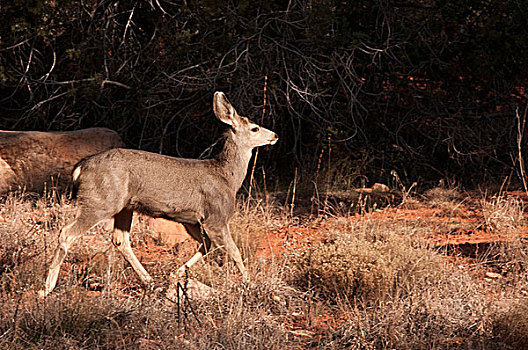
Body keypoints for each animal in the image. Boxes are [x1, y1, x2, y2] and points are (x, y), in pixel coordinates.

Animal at [40, 91, 278, 296]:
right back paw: (47, 287)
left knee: (120, 239)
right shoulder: (216, 216)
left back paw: (150, 281)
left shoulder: (191, 220)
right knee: (67, 232)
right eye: (255, 128)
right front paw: (249, 284)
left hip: (124, 206)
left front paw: (176, 274)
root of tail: (80, 168)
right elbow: (234, 251)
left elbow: (206, 246)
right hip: (100, 201)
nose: (275, 135)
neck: (227, 177)